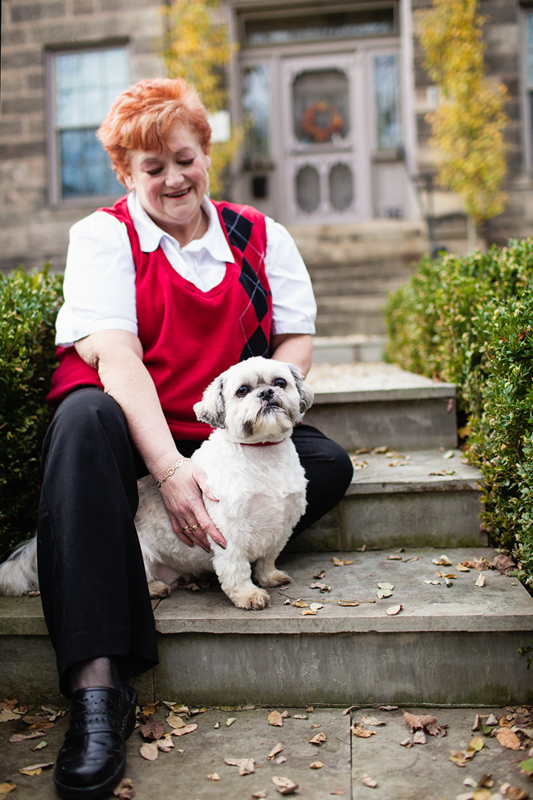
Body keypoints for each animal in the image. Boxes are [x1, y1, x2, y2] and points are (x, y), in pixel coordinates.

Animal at [0, 360, 312, 608]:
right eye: (243, 391)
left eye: (280, 382)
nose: (267, 392)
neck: (262, 453)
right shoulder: (228, 533)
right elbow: (237, 569)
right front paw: (248, 594)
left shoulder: (283, 523)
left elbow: (268, 557)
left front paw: (268, 577)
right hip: (138, 553)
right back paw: (154, 589)